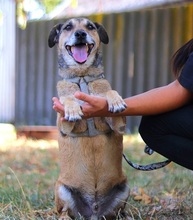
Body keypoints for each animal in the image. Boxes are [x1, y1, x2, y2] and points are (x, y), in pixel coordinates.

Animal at [48, 18, 130, 219]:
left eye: (90, 27)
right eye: (68, 27)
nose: (80, 34)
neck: (82, 76)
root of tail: (93, 210)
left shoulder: (119, 125)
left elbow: (109, 91)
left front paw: (115, 100)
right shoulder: (64, 125)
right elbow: (67, 99)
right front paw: (72, 108)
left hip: (124, 187)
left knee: (117, 212)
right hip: (62, 189)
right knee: (63, 211)